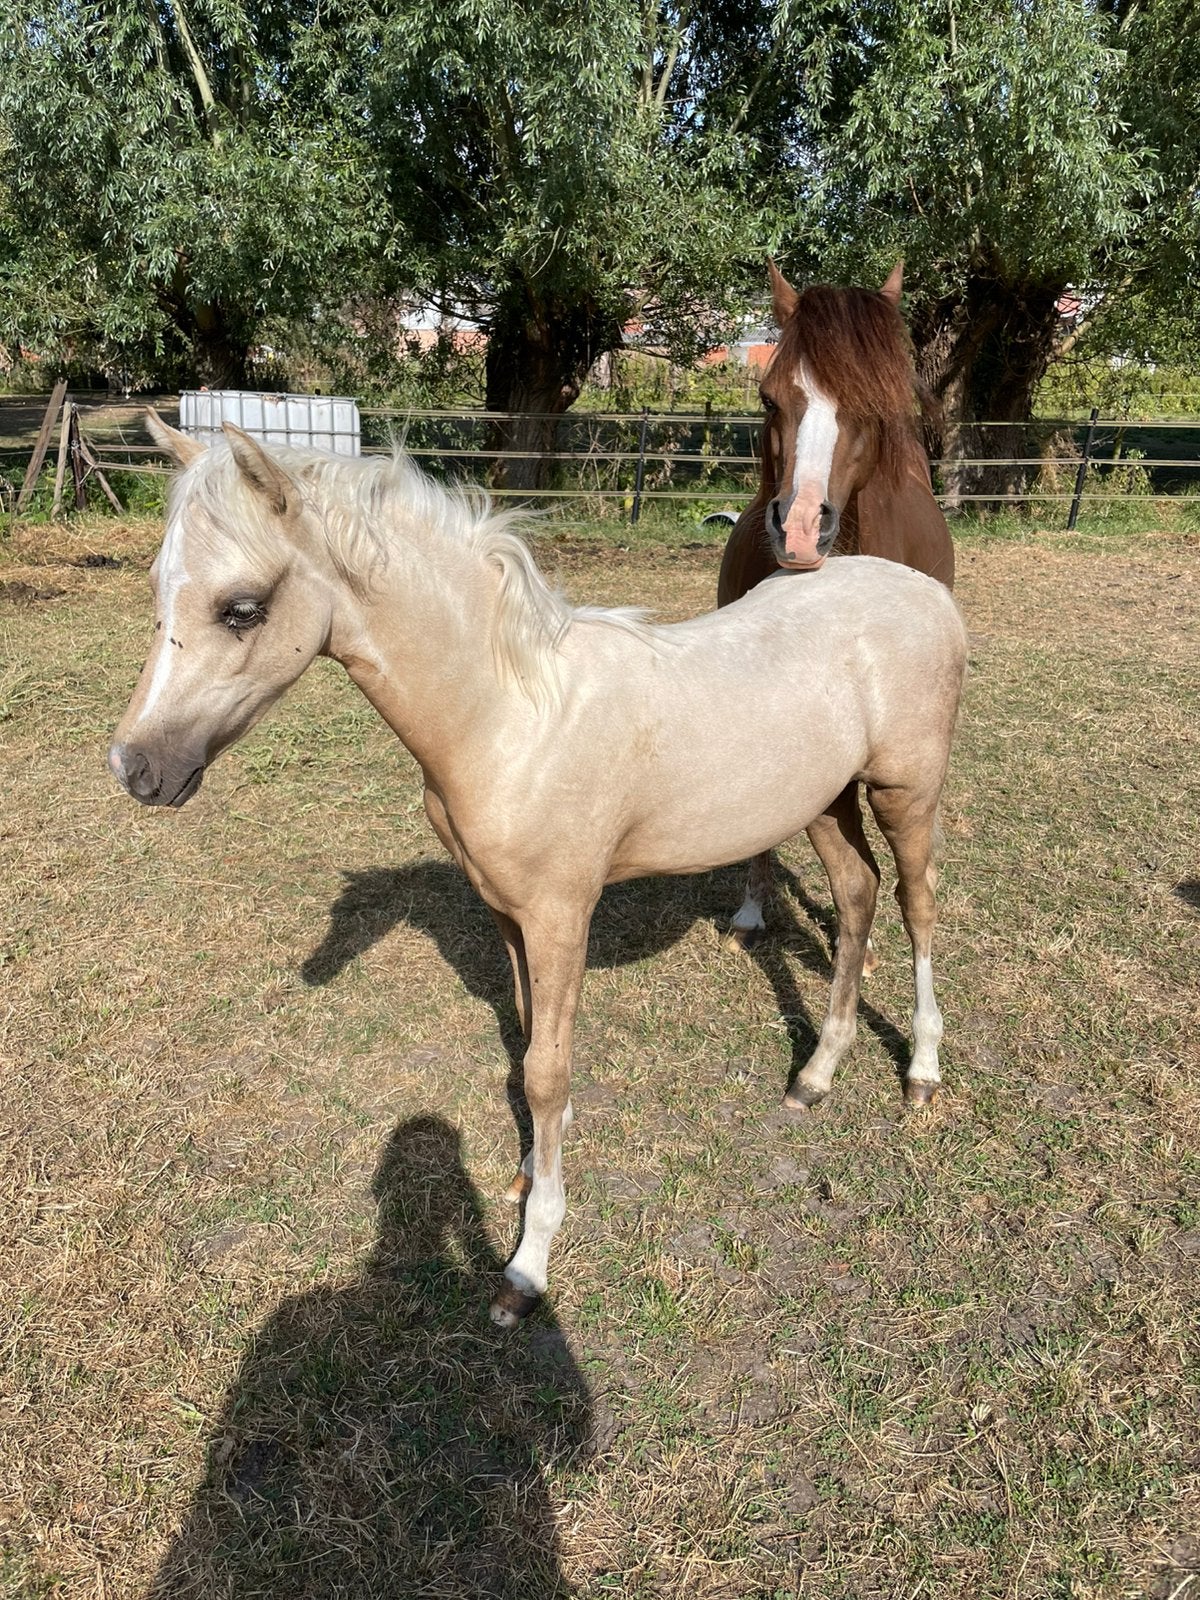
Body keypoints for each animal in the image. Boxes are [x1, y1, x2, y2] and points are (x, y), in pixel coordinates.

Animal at [109, 417, 967, 1327]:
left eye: (241, 609)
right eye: (160, 589)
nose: (136, 769)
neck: (510, 718)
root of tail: (924, 591)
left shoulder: (561, 915)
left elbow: (548, 1073)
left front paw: (528, 1262)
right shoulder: (507, 914)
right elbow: (525, 1044)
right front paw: (525, 1174)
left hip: (906, 794)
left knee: (916, 905)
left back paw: (920, 1073)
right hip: (826, 801)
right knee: (857, 895)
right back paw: (816, 1075)